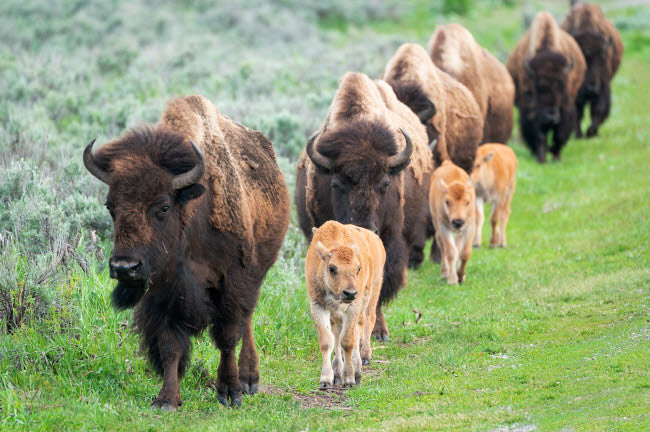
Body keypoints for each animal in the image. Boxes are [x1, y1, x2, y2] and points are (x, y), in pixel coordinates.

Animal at [82, 95, 290, 410]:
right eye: (110, 206)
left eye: (164, 206)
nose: (124, 267)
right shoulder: (164, 292)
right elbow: (170, 345)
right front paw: (167, 399)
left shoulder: (234, 282)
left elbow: (227, 338)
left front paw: (230, 392)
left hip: (257, 272)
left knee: (247, 321)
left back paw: (249, 379)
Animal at [306, 221, 385, 388]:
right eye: (331, 268)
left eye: (358, 268)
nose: (350, 293)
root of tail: (375, 237)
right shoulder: (318, 305)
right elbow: (327, 341)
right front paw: (326, 379)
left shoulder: (353, 307)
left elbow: (348, 341)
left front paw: (349, 379)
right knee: (339, 331)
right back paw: (338, 373)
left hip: (372, 290)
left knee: (366, 321)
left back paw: (362, 362)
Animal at [507, 11, 586, 163]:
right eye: (538, 87)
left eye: (562, 85)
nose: (551, 117)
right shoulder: (532, 109)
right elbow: (539, 135)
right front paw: (542, 158)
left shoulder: (565, 108)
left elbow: (559, 134)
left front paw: (556, 157)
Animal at [562, 2, 624, 138]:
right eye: (581, 59)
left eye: (602, 57)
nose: (590, 88)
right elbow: (577, 111)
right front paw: (579, 134)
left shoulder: (603, 86)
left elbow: (598, 109)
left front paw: (591, 132)